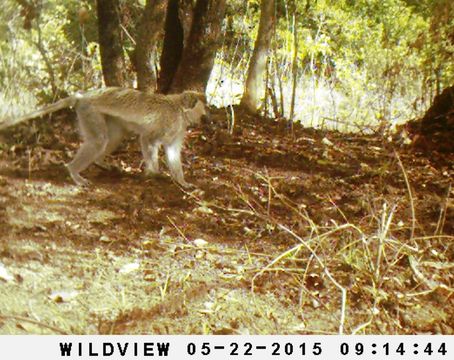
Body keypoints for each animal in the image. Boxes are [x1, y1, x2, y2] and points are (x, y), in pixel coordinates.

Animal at [0, 88, 207, 188]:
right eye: (203, 106)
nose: (207, 115)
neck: (179, 108)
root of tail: (83, 96)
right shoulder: (167, 122)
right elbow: (148, 139)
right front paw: (153, 172)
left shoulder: (177, 129)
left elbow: (172, 151)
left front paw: (182, 182)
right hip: (89, 112)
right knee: (99, 140)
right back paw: (74, 172)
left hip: (101, 116)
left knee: (113, 137)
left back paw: (100, 162)